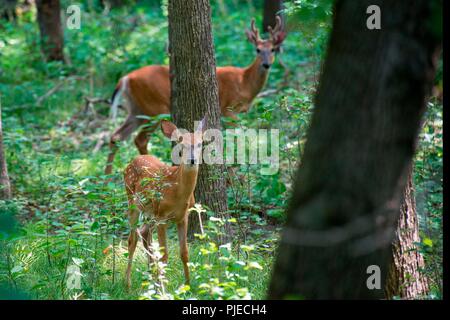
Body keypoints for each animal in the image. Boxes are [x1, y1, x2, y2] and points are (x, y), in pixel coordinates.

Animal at [105, 16, 284, 175]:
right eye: (258, 50)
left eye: (273, 49)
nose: (266, 64)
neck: (244, 82)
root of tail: (125, 79)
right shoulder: (228, 109)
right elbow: (238, 136)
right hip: (154, 108)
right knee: (140, 139)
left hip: (137, 110)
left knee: (116, 136)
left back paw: (107, 177)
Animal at [124, 116, 207, 286]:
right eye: (181, 144)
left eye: (200, 143)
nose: (192, 160)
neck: (178, 192)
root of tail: (133, 160)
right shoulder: (162, 217)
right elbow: (164, 255)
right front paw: (164, 285)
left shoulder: (183, 217)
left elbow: (184, 252)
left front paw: (188, 285)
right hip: (132, 201)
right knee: (132, 239)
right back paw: (128, 284)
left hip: (150, 212)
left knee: (144, 232)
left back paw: (150, 277)